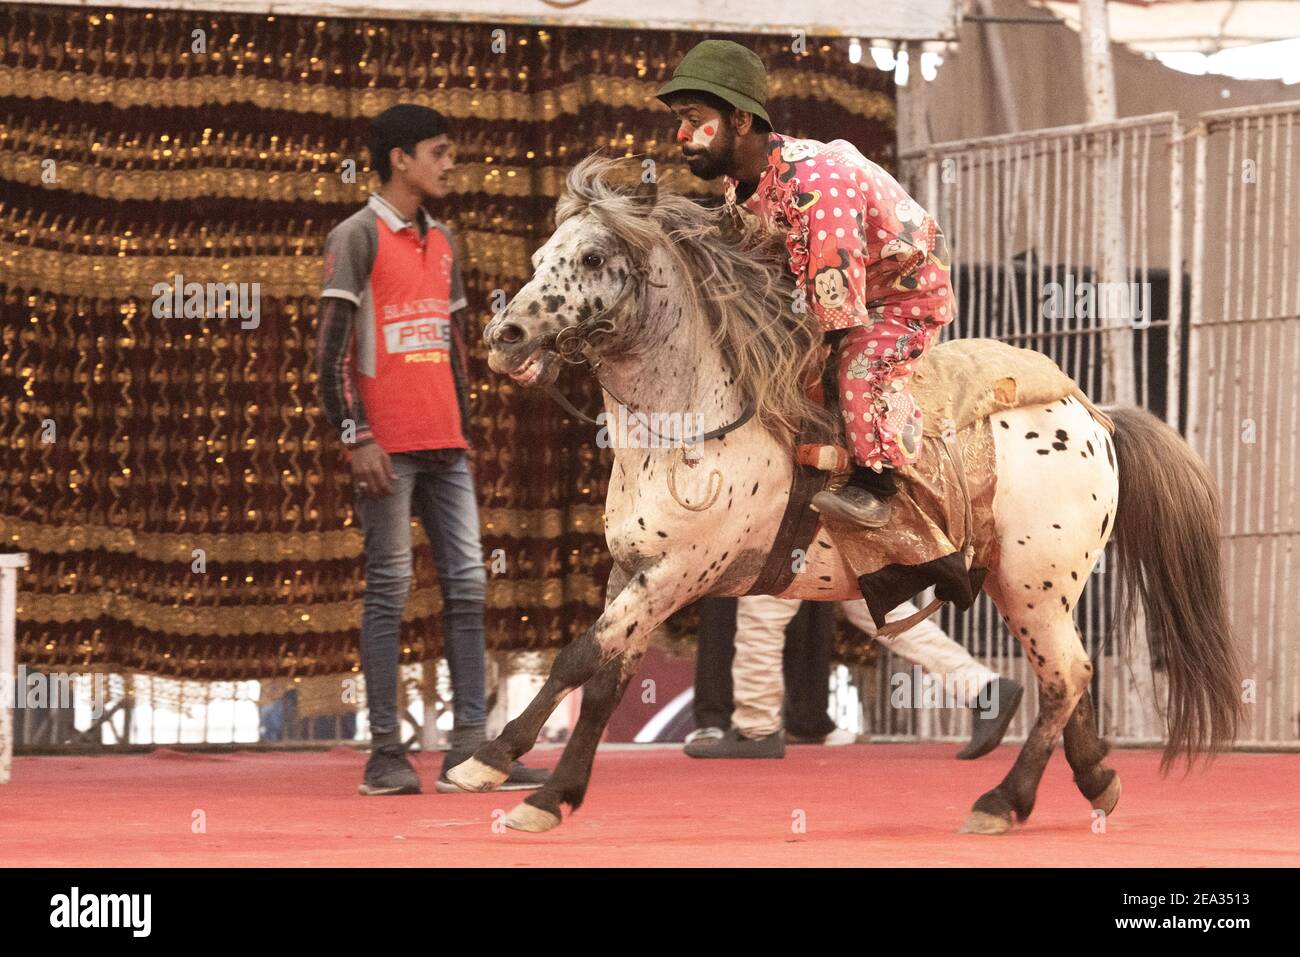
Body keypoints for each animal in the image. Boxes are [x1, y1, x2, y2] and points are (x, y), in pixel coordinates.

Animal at [444, 158, 1237, 837]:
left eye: (591, 259)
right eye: (541, 256)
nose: (505, 335)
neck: (689, 426)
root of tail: (1095, 417)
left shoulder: (676, 574)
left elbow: (580, 659)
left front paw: (510, 774)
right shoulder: (633, 572)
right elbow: (604, 679)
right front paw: (529, 778)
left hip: (1035, 585)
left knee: (1066, 676)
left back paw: (1002, 800)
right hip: (1024, 590)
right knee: (1065, 680)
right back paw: (1096, 775)